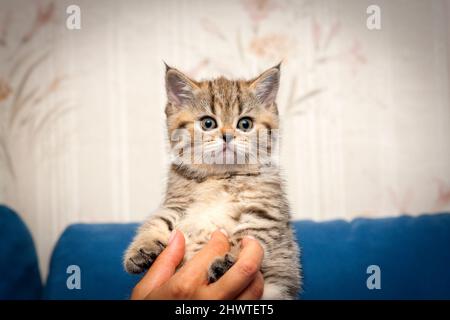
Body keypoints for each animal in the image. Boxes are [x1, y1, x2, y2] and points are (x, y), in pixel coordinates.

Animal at [123, 63, 300, 300]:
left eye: (245, 124)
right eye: (208, 123)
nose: (227, 136)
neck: (218, 177)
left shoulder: (264, 212)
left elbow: (247, 238)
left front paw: (230, 261)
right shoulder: (176, 203)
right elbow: (159, 220)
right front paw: (142, 248)